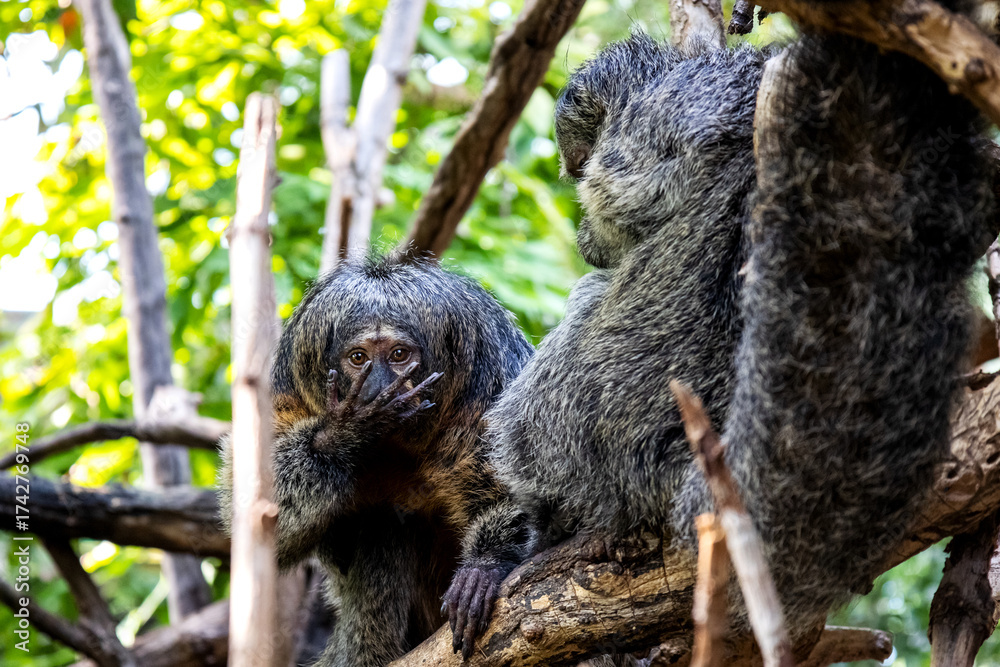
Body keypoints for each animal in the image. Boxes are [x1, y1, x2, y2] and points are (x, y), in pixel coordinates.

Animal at [218, 253, 535, 667]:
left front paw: (485, 565)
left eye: (399, 355)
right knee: (383, 522)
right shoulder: (291, 386)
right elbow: (263, 521)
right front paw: (344, 434)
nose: (378, 384)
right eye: (359, 358)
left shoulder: (491, 372)